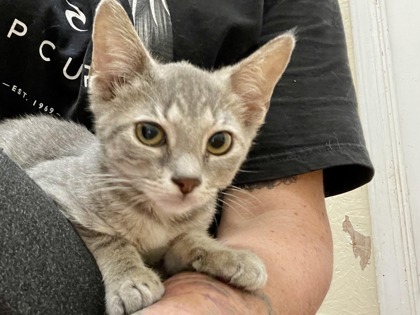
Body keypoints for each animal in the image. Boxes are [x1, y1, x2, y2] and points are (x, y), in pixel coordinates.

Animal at [0, 0, 296, 314]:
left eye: (219, 142)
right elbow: (108, 237)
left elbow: (187, 239)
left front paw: (228, 255)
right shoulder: (51, 185)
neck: (158, 217)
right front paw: (130, 278)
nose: (188, 181)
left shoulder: (171, 253)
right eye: (149, 133)